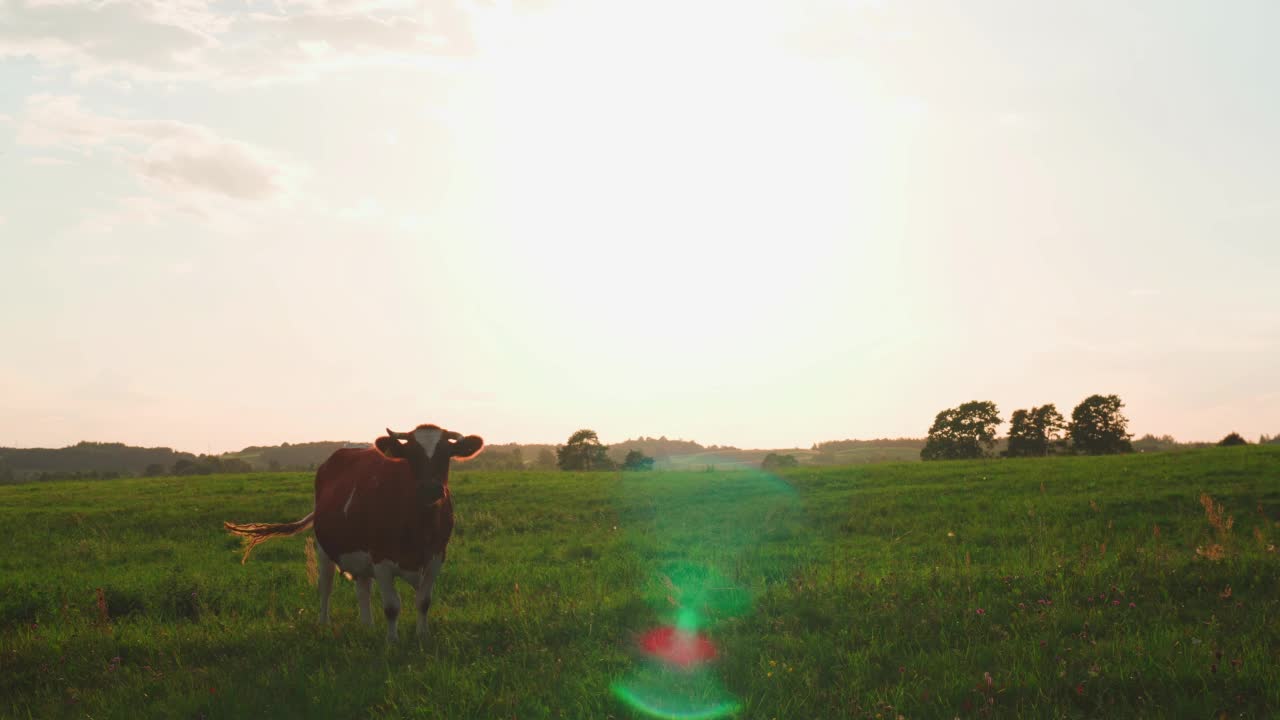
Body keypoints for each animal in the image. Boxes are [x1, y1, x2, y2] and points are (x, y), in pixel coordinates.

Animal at [222, 420, 481, 638]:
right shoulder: (381, 559)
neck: (421, 524)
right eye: (411, 455)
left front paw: (422, 636)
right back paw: (324, 624)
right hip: (324, 549)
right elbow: (392, 607)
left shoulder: (436, 556)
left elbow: (423, 602)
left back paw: (367, 626)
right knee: (325, 587)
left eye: (446, 454)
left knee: (362, 588)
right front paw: (392, 642)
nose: (431, 489)